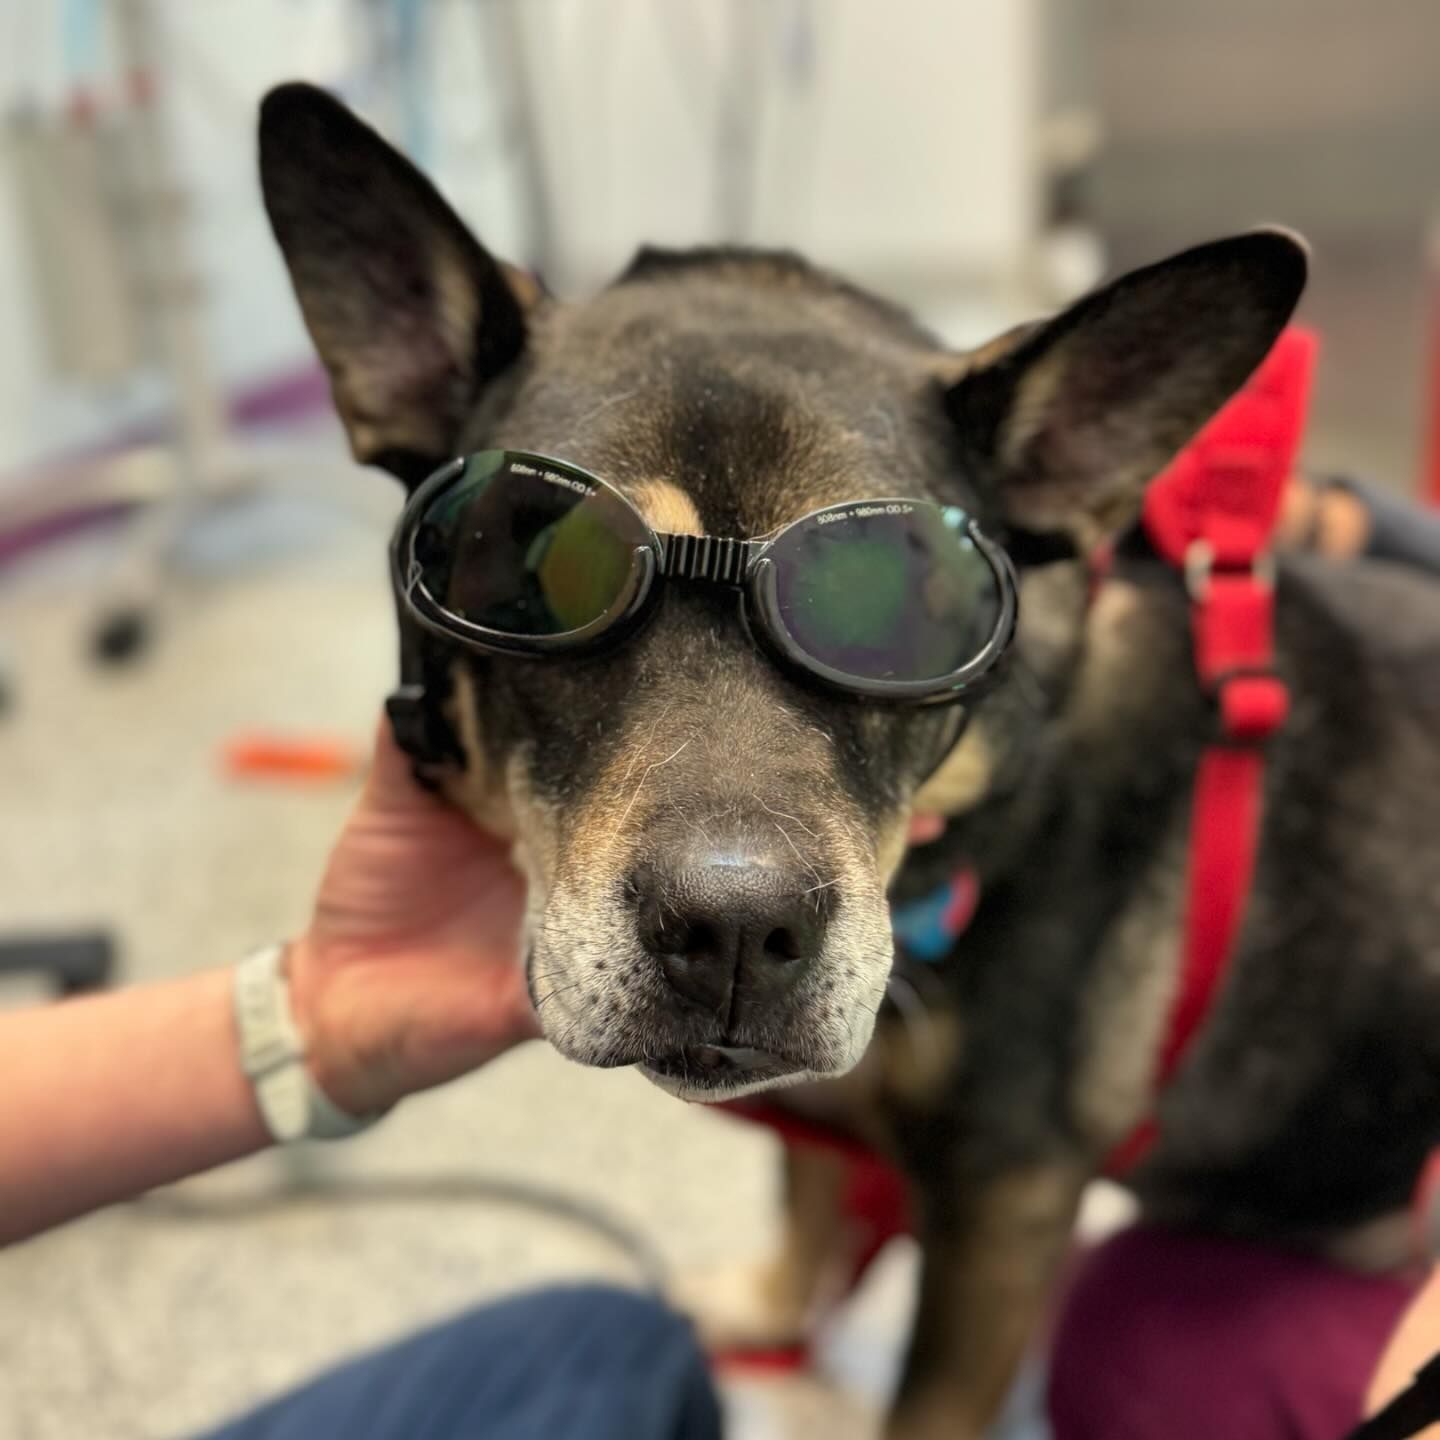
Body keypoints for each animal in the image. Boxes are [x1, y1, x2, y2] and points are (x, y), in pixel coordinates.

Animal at [259, 87, 1440, 1440]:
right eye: (532, 569)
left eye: (897, 607)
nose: (733, 931)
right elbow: (808, 1189)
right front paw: (773, 1305)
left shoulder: (1005, 1197)